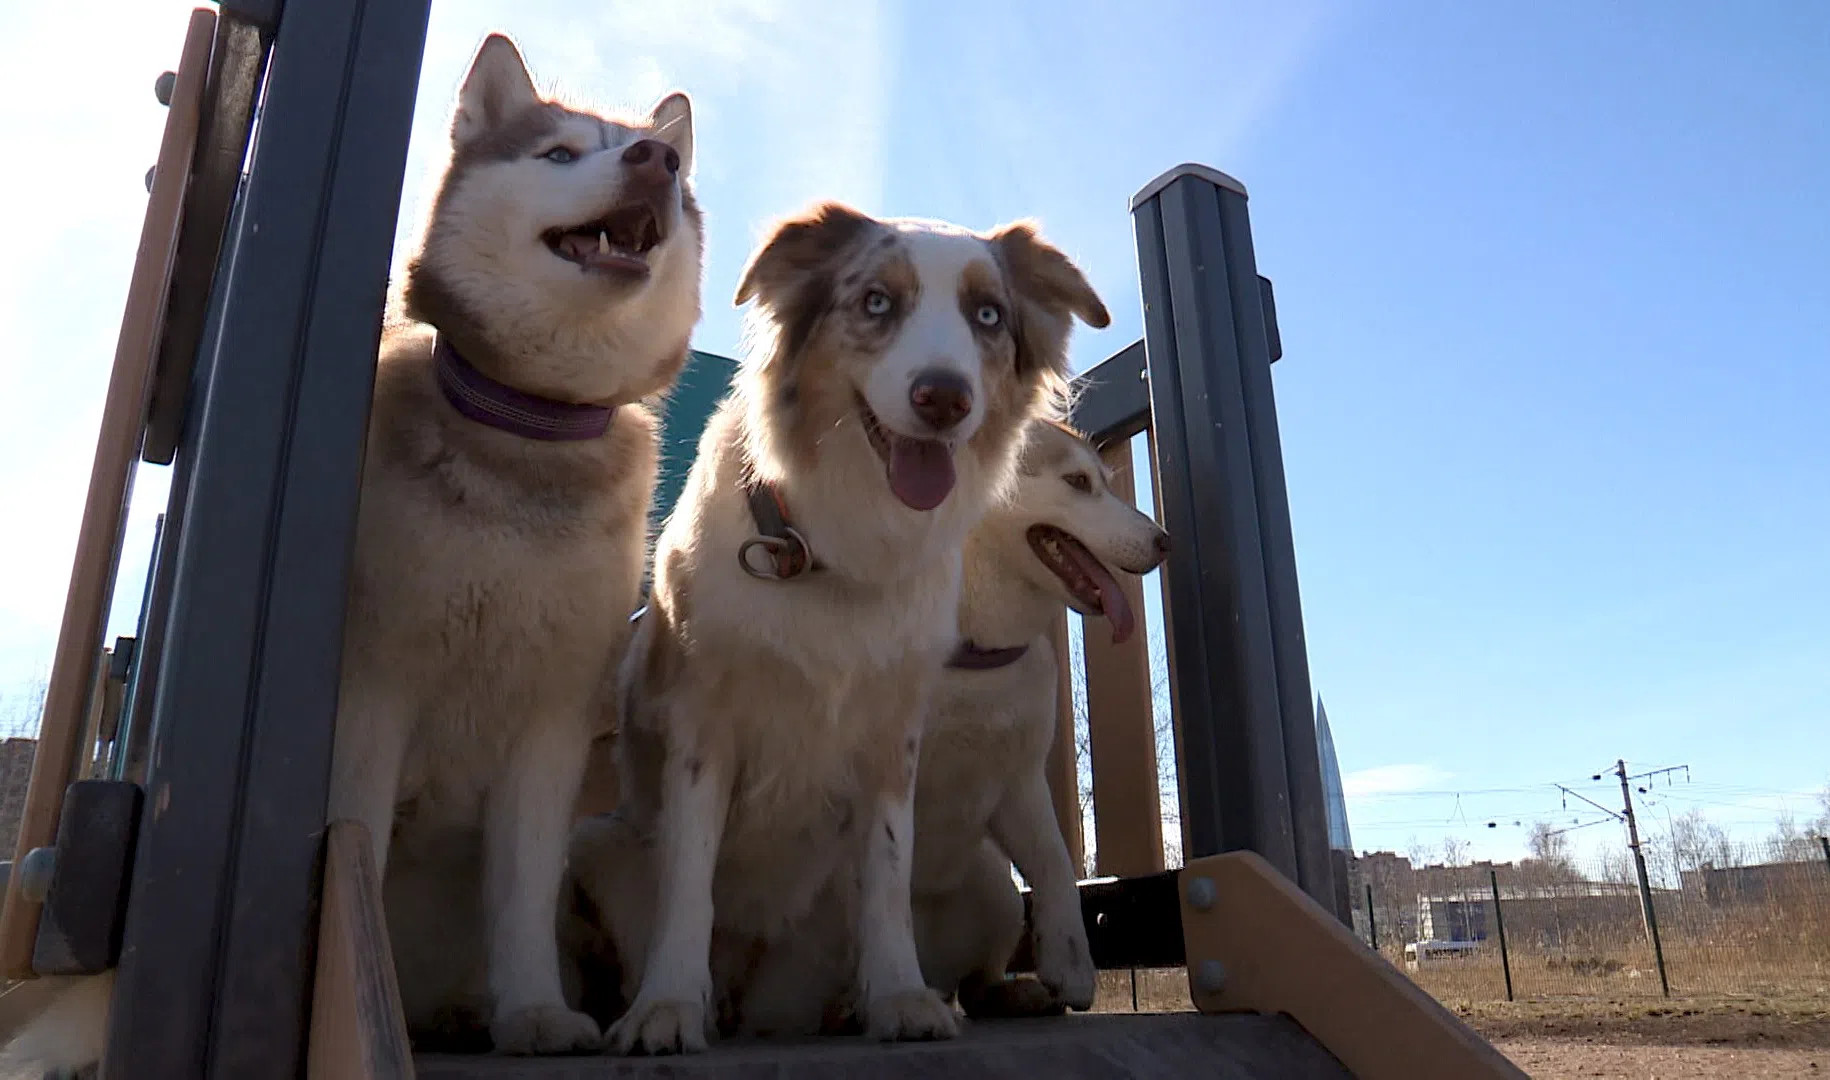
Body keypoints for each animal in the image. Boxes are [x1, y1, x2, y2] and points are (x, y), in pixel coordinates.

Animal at [567, 198, 1112, 1054]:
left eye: (988, 316)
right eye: (877, 303)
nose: (944, 398)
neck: (834, 547)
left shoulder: (892, 737)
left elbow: (887, 875)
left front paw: (899, 997)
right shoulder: (702, 727)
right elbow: (689, 881)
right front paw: (666, 1008)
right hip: (598, 843)